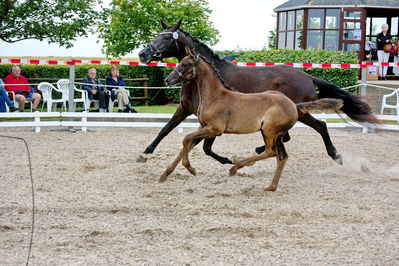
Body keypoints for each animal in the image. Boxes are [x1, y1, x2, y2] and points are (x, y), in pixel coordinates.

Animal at [139, 20, 380, 165]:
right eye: (158, 34)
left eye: (167, 37)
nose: (143, 54)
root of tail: (307, 76)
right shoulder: (184, 109)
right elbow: (166, 130)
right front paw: (146, 152)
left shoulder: (210, 120)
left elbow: (199, 143)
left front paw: (227, 160)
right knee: (294, 133)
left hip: (299, 111)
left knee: (318, 126)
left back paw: (334, 155)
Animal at [162, 53, 344, 191]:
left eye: (185, 64)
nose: (167, 79)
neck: (216, 96)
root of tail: (293, 105)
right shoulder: (204, 126)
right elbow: (188, 143)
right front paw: (165, 174)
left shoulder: (215, 129)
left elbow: (186, 139)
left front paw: (191, 169)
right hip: (276, 135)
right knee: (282, 156)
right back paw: (271, 186)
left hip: (269, 131)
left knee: (271, 152)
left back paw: (235, 167)